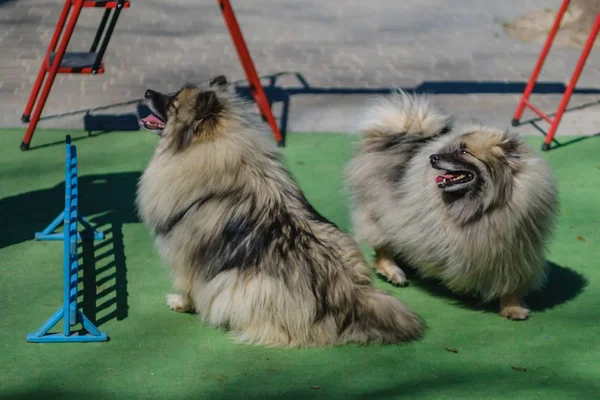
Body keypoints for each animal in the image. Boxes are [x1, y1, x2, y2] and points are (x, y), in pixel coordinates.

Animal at [135, 76, 422, 346]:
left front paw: (180, 302)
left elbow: (185, 283)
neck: (211, 146)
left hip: (239, 283)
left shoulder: (184, 252)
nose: (147, 92)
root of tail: (351, 295)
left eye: (173, 103)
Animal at [344, 92, 560, 320]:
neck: (486, 205)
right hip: (382, 211)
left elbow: (510, 282)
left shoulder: (514, 249)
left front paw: (512, 307)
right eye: (449, 150)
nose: (433, 158)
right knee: (382, 246)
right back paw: (394, 271)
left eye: (464, 152)